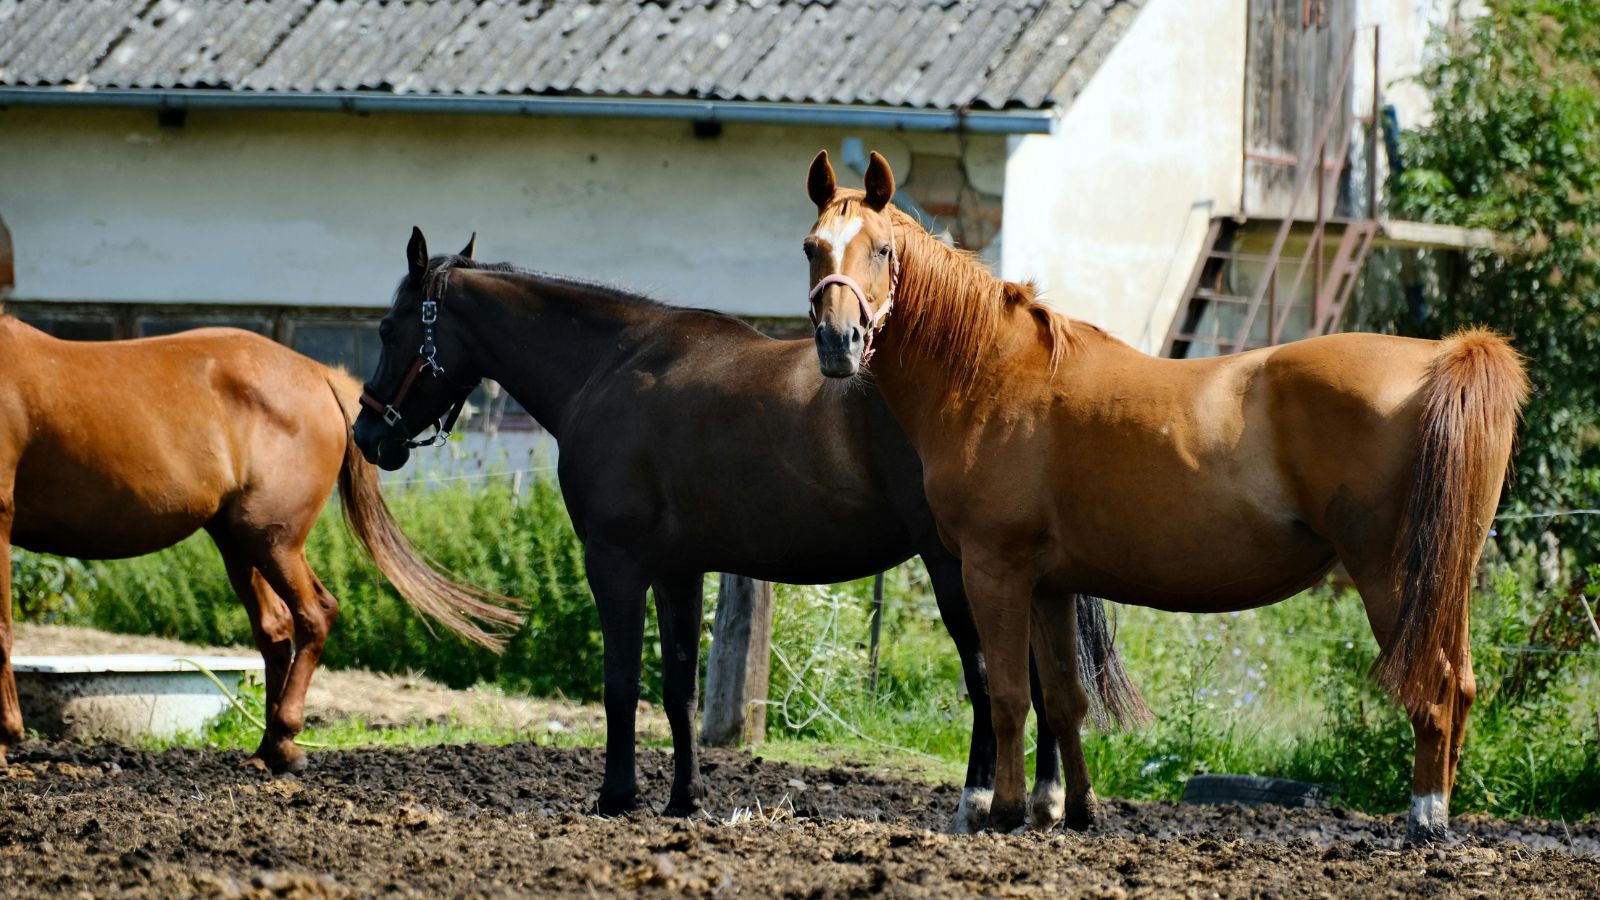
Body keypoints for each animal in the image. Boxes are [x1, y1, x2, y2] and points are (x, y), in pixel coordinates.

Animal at [0, 317, 520, 773]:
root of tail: (321, 376)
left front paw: (7, 739)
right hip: (240, 542)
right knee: (276, 630)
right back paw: (274, 747)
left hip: (273, 541)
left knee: (314, 615)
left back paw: (285, 737)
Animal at [351, 228, 1147, 829]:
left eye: (389, 328)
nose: (367, 433)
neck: (610, 367)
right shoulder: (678, 569)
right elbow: (678, 686)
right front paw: (683, 798)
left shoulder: (615, 562)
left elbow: (620, 681)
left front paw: (616, 796)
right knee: (1041, 679)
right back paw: (1045, 801)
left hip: (961, 570)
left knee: (994, 680)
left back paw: (981, 801)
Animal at [799, 150, 1527, 843]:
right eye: (813, 247)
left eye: (881, 250)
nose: (838, 343)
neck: (990, 372)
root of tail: (1442, 359)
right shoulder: (1049, 586)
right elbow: (1064, 701)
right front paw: (1078, 812)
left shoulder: (993, 569)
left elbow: (1007, 696)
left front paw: (1003, 812)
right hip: (1447, 580)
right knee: (1462, 684)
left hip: (1392, 579)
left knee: (1433, 689)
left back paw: (1425, 820)